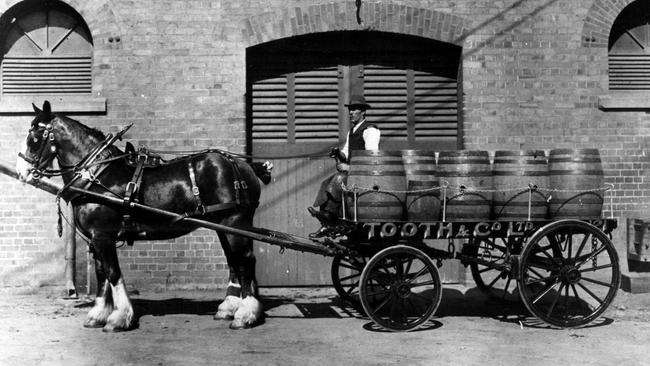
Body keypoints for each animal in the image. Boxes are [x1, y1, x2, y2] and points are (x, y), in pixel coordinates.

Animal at [17, 101, 270, 332]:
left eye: (35, 136)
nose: (22, 172)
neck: (97, 175)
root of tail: (242, 164)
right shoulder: (95, 239)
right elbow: (101, 275)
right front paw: (98, 315)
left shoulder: (103, 236)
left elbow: (113, 273)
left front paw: (119, 318)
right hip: (223, 227)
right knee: (234, 262)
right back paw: (229, 308)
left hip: (235, 222)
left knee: (245, 261)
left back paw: (245, 314)